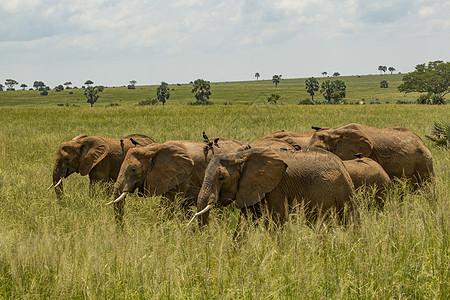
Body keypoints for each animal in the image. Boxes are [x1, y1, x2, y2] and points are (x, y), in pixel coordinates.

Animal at [193, 146, 358, 231]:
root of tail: (342, 164)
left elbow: (277, 222)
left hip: (345, 192)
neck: (241, 155)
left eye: (221, 178)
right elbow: (245, 224)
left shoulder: (276, 188)